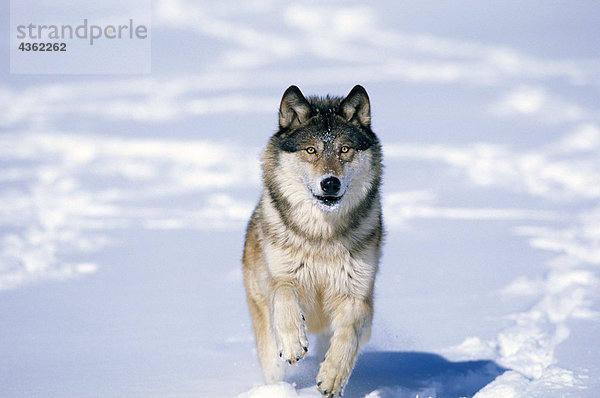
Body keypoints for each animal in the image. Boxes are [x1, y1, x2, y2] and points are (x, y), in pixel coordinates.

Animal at [241, 85, 382, 396]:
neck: (321, 238)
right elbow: (284, 294)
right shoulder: (280, 279)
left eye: (344, 149)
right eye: (311, 150)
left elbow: (348, 335)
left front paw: (332, 376)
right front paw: (294, 342)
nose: (330, 183)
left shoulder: (358, 297)